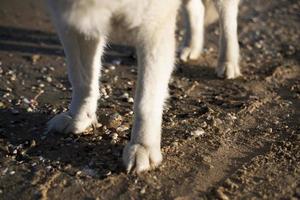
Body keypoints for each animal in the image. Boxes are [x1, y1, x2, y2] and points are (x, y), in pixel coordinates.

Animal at [45, 0, 240, 173]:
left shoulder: (153, 26)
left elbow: (145, 100)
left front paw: (142, 146)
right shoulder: (70, 18)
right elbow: (80, 77)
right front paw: (78, 117)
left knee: (228, 18)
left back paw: (228, 62)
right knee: (196, 9)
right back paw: (191, 47)